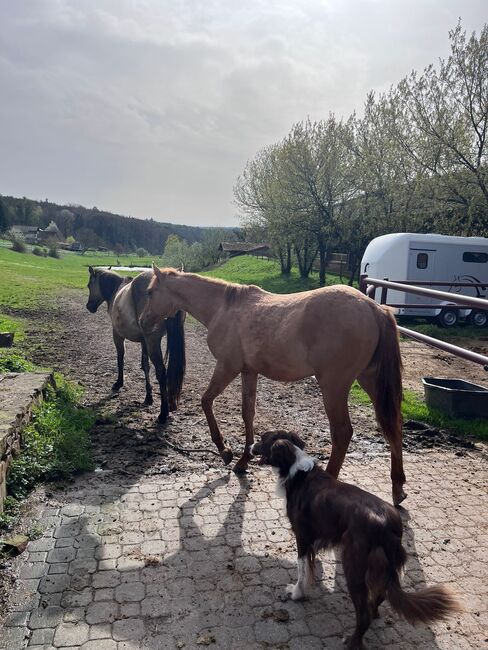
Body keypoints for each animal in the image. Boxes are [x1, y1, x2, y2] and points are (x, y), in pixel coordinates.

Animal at [86, 266, 186, 422]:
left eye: (89, 285)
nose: (89, 306)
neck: (116, 291)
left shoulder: (117, 335)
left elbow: (120, 358)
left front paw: (119, 383)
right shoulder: (144, 341)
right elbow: (145, 366)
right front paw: (148, 397)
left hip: (152, 341)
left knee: (161, 372)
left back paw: (163, 413)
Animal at [142, 264, 408, 502]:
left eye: (150, 292)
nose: (143, 320)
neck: (223, 308)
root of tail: (374, 308)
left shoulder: (227, 367)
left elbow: (206, 401)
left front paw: (225, 451)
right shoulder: (249, 372)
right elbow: (247, 413)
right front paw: (243, 460)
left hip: (334, 386)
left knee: (342, 432)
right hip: (370, 380)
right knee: (394, 426)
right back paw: (398, 488)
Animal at [250, 430, 460, 648]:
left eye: (263, 438)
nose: (249, 447)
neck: (297, 471)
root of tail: (387, 526)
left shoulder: (302, 536)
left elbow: (301, 569)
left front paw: (297, 593)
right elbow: (310, 565)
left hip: (354, 565)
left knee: (364, 613)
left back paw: (352, 641)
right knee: (379, 596)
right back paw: (374, 614)